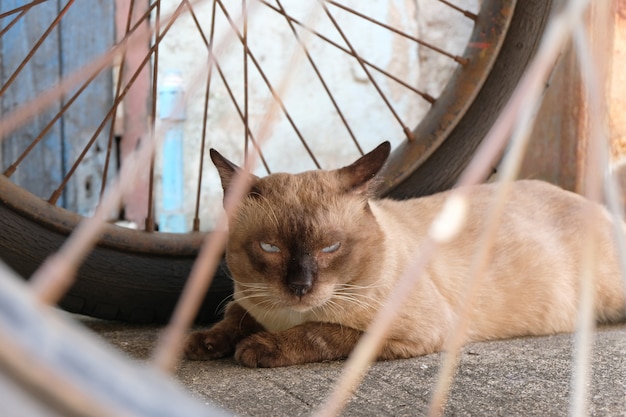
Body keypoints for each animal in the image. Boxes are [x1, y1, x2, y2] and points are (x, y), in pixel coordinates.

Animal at [184, 141, 624, 366]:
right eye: (270, 247)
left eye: (331, 247)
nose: (300, 287)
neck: (284, 316)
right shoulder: (249, 300)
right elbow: (233, 317)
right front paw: (203, 343)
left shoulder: (406, 331)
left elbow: (319, 332)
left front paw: (257, 348)